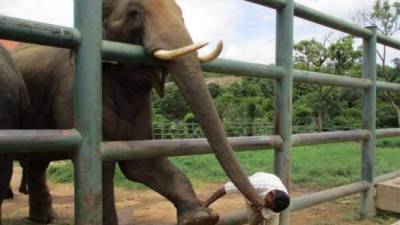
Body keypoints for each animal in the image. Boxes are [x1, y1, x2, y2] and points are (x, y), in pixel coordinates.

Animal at [7, 0, 264, 225]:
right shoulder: (73, 89)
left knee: (38, 163)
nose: (265, 202)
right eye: (134, 13)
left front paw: (201, 217)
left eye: (182, 15)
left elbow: (141, 161)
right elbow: (105, 166)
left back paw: (44, 218)